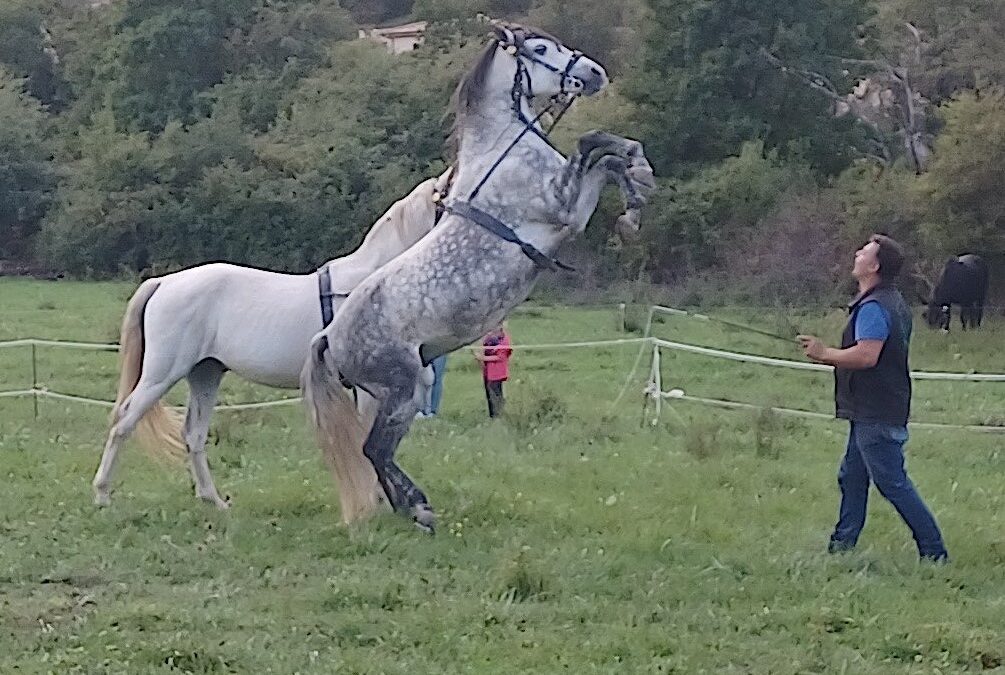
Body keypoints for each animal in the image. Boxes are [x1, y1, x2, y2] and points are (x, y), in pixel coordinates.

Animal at [91, 167, 454, 508]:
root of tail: (164, 282)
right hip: (161, 374)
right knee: (124, 422)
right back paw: (102, 495)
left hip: (205, 373)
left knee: (193, 434)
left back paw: (214, 501)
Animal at [301, 22, 654, 532]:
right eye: (540, 48)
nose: (594, 72)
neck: (504, 147)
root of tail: (330, 336)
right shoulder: (564, 207)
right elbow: (592, 144)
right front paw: (637, 183)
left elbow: (604, 157)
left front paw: (636, 191)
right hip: (403, 388)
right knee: (375, 449)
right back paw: (419, 508)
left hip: (400, 391)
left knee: (376, 453)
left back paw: (411, 508)